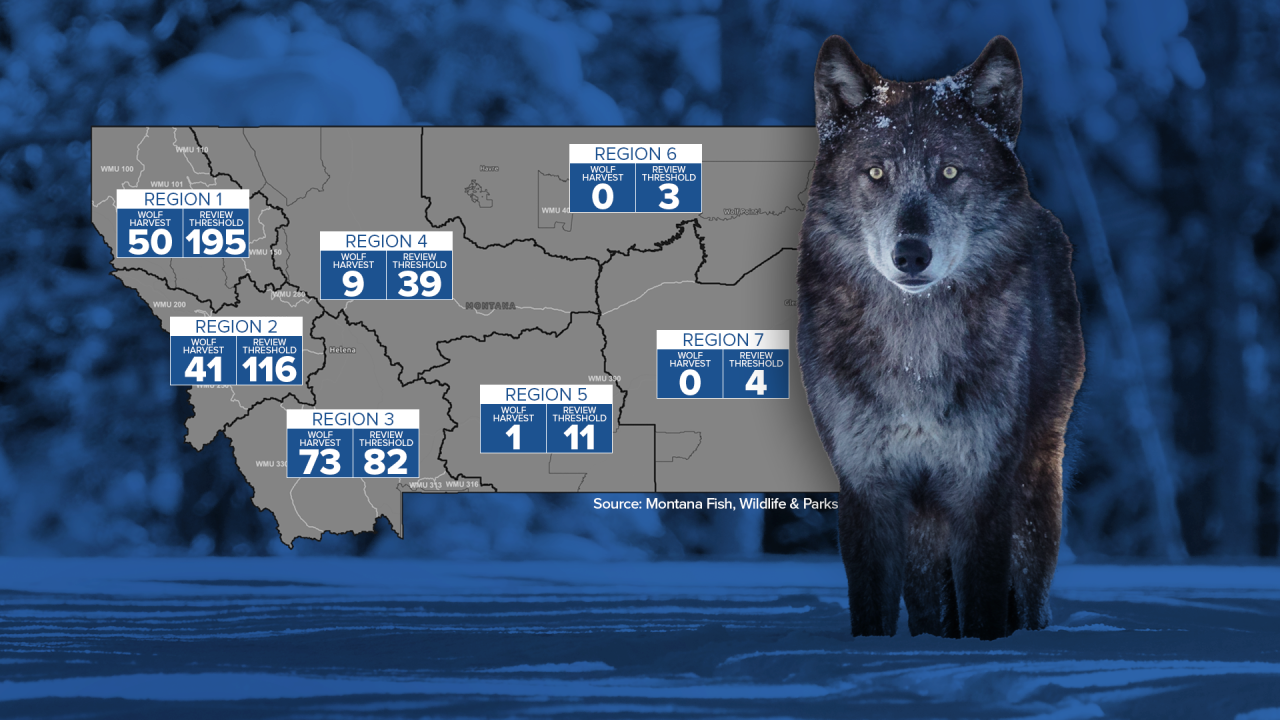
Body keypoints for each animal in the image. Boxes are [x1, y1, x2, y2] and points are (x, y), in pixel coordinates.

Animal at [796, 35, 1085, 640]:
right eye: (876, 173)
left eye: (950, 172)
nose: (911, 254)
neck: (916, 349)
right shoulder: (869, 487)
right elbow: (872, 611)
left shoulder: (982, 487)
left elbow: (983, 607)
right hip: (926, 522)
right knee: (931, 602)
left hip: (1034, 486)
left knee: (1029, 591)